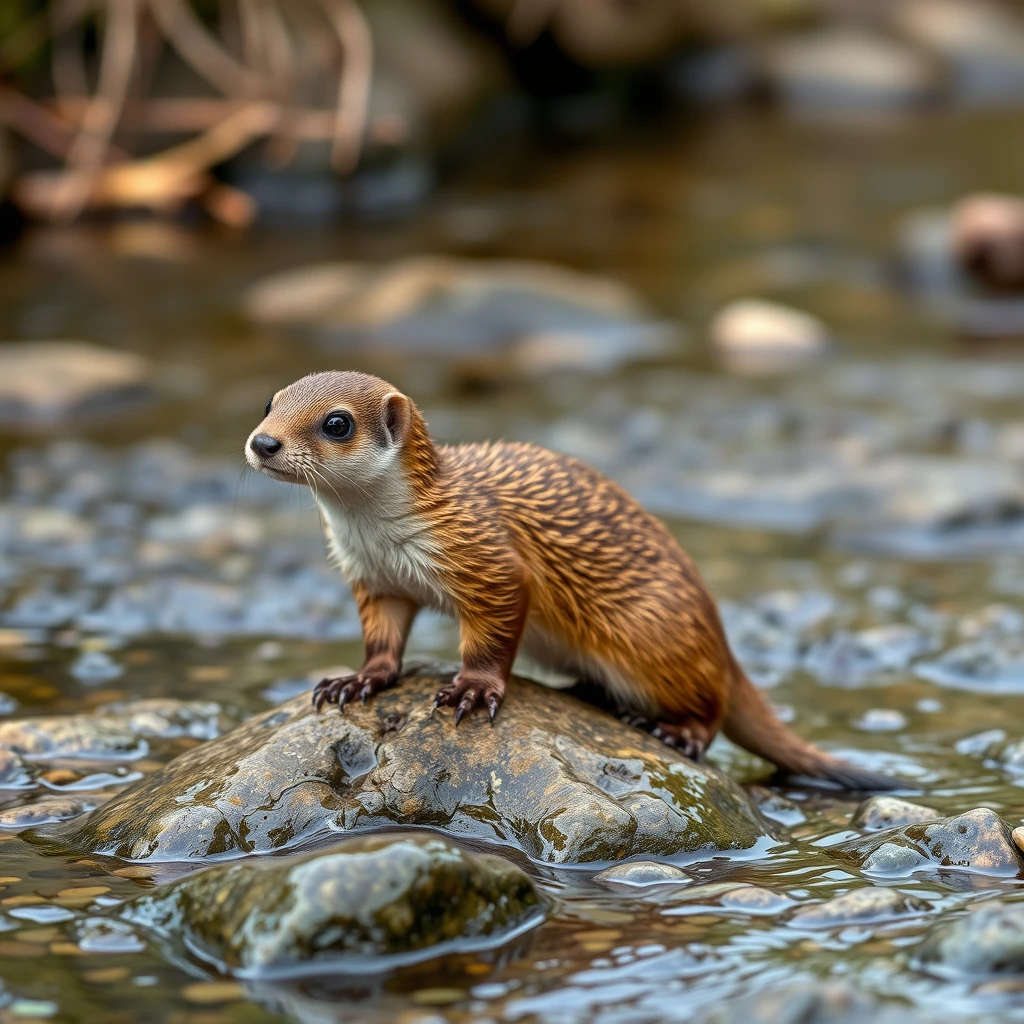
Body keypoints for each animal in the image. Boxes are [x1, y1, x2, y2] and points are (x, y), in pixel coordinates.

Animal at [245, 370, 897, 790]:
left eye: (336, 422)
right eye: (269, 403)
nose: (263, 442)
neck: (384, 538)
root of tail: (715, 627)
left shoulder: (493, 564)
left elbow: (493, 639)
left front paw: (471, 690)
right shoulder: (376, 581)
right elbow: (382, 643)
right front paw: (356, 681)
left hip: (652, 635)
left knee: (710, 705)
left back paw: (674, 731)